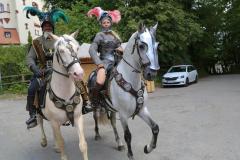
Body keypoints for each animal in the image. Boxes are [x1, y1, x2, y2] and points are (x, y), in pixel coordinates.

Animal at [36, 31, 87, 160]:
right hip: (38, 111)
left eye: (77, 48)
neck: (65, 93)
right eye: (62, 50)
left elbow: (83, 145)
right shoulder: (55, 122)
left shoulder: (78, 118)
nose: (79, 73)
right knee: (40, 121)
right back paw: (43, 141)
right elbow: (62, 143)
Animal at [89, 22, 160, 160]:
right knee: (95, 117)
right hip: (95, 105)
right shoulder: (123, 115)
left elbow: (155, 128)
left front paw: (148, 148)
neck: (131, 81)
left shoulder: (142, 110)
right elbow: (128, 136)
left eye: (156, 46)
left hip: (111, 109)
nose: (151, 74)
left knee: (112, 123)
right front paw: (131, 155)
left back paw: (119, 143)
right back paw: (97, 134)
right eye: (142, 46)